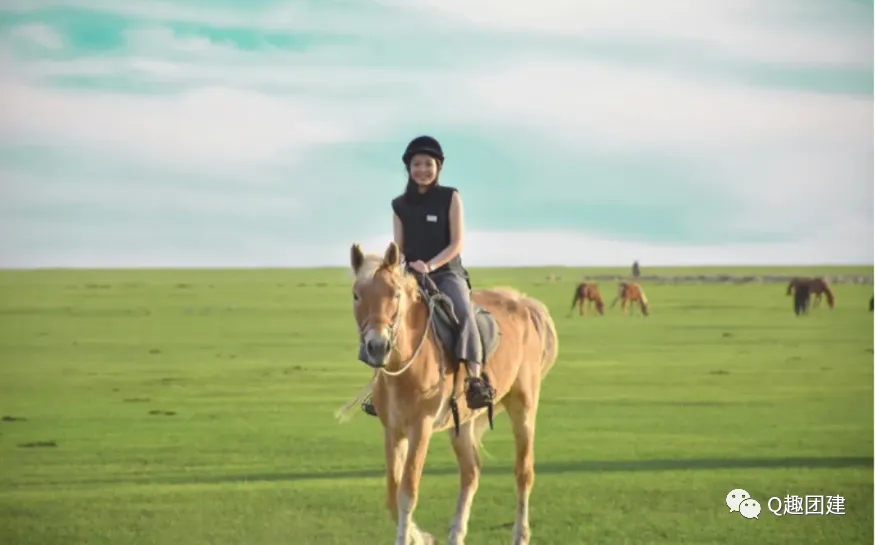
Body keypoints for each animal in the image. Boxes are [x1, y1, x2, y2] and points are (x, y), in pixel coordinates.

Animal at [337, 242, 559, 545]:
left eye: (395, 294)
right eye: (356, 295)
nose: (377, 346)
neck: (405, 365)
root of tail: (524, 303)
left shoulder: (421, 428)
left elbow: (407, 491)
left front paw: (411, 537)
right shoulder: (392, 430)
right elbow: (392, 494)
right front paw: (422, 536)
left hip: (523, 407)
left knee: (523, 472)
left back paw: (520, 535)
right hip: (462, 422)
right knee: (471, 471)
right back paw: (456, 534)